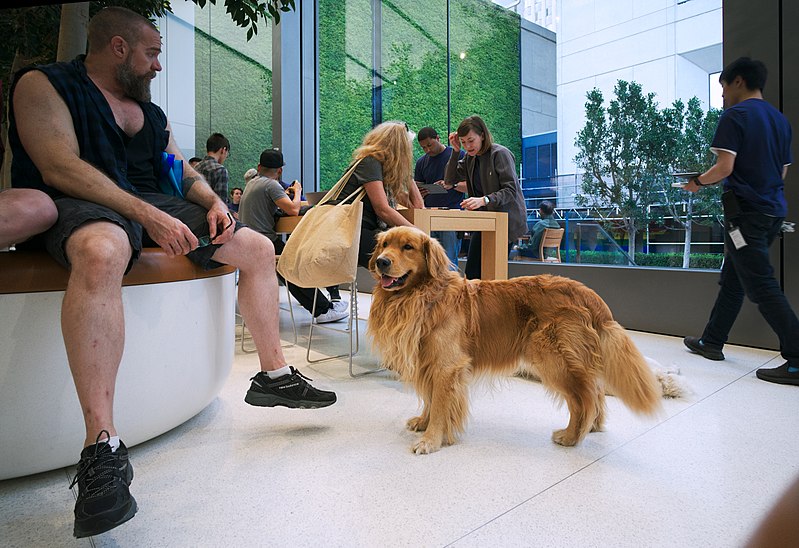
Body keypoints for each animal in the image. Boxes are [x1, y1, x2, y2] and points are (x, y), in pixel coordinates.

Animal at [368, 226, 664, 454]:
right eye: (384, 244)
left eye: (407, 247)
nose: (382, 261)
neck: (423, 295)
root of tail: (589, 295)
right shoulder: (429, 363)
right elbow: (431, 399)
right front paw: (423, 422)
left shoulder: (446, 366)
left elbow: (441, 405)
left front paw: (431, 440)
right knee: (597, 391)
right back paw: (592, 426)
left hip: (554, 360)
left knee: (585, 399)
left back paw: (571, 436)